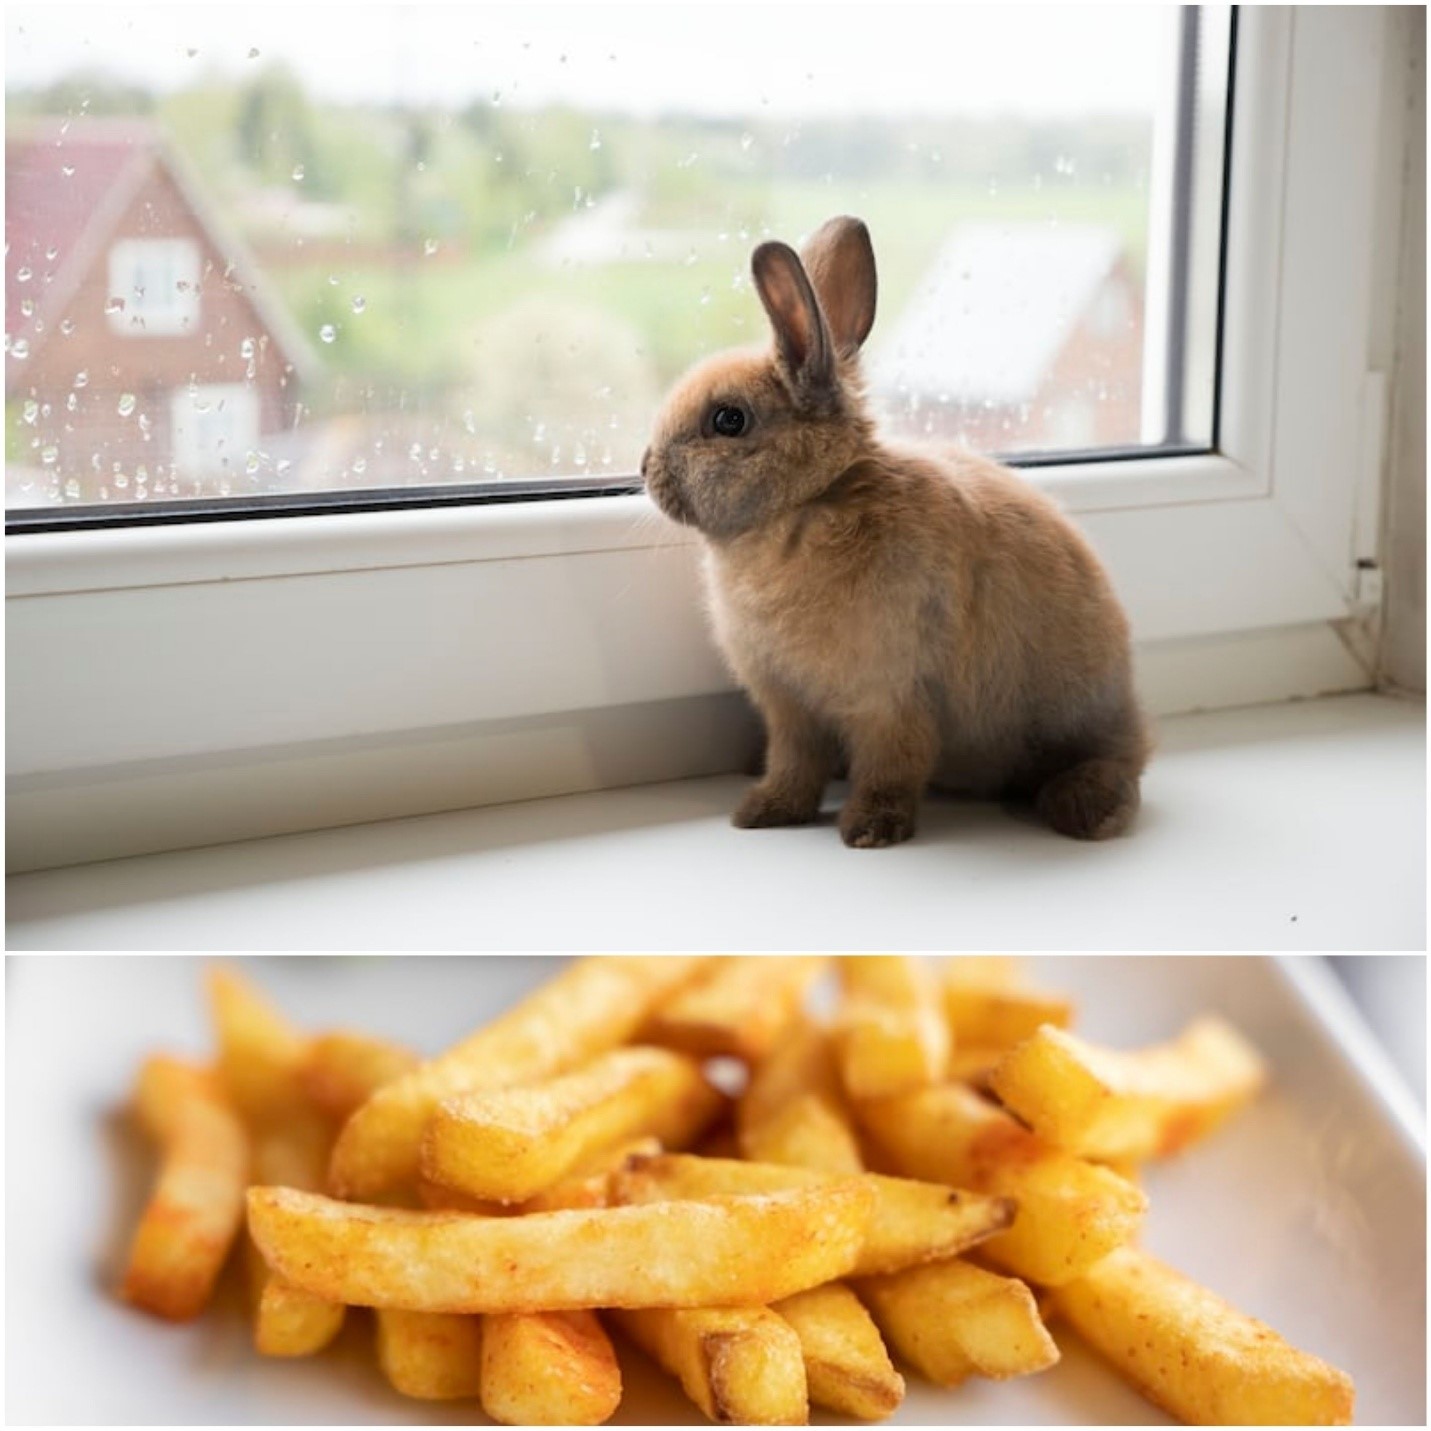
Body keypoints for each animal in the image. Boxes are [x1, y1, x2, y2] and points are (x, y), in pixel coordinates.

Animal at [641, 215, 1149, 848]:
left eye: (728, 419)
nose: (644, 467)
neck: (809, 503)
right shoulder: (790, 709)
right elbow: (794, 763)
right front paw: (763, 812)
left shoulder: (891, 698)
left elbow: (893, 764)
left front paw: (869, 829)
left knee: (1116, 765)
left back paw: (1086, 809)